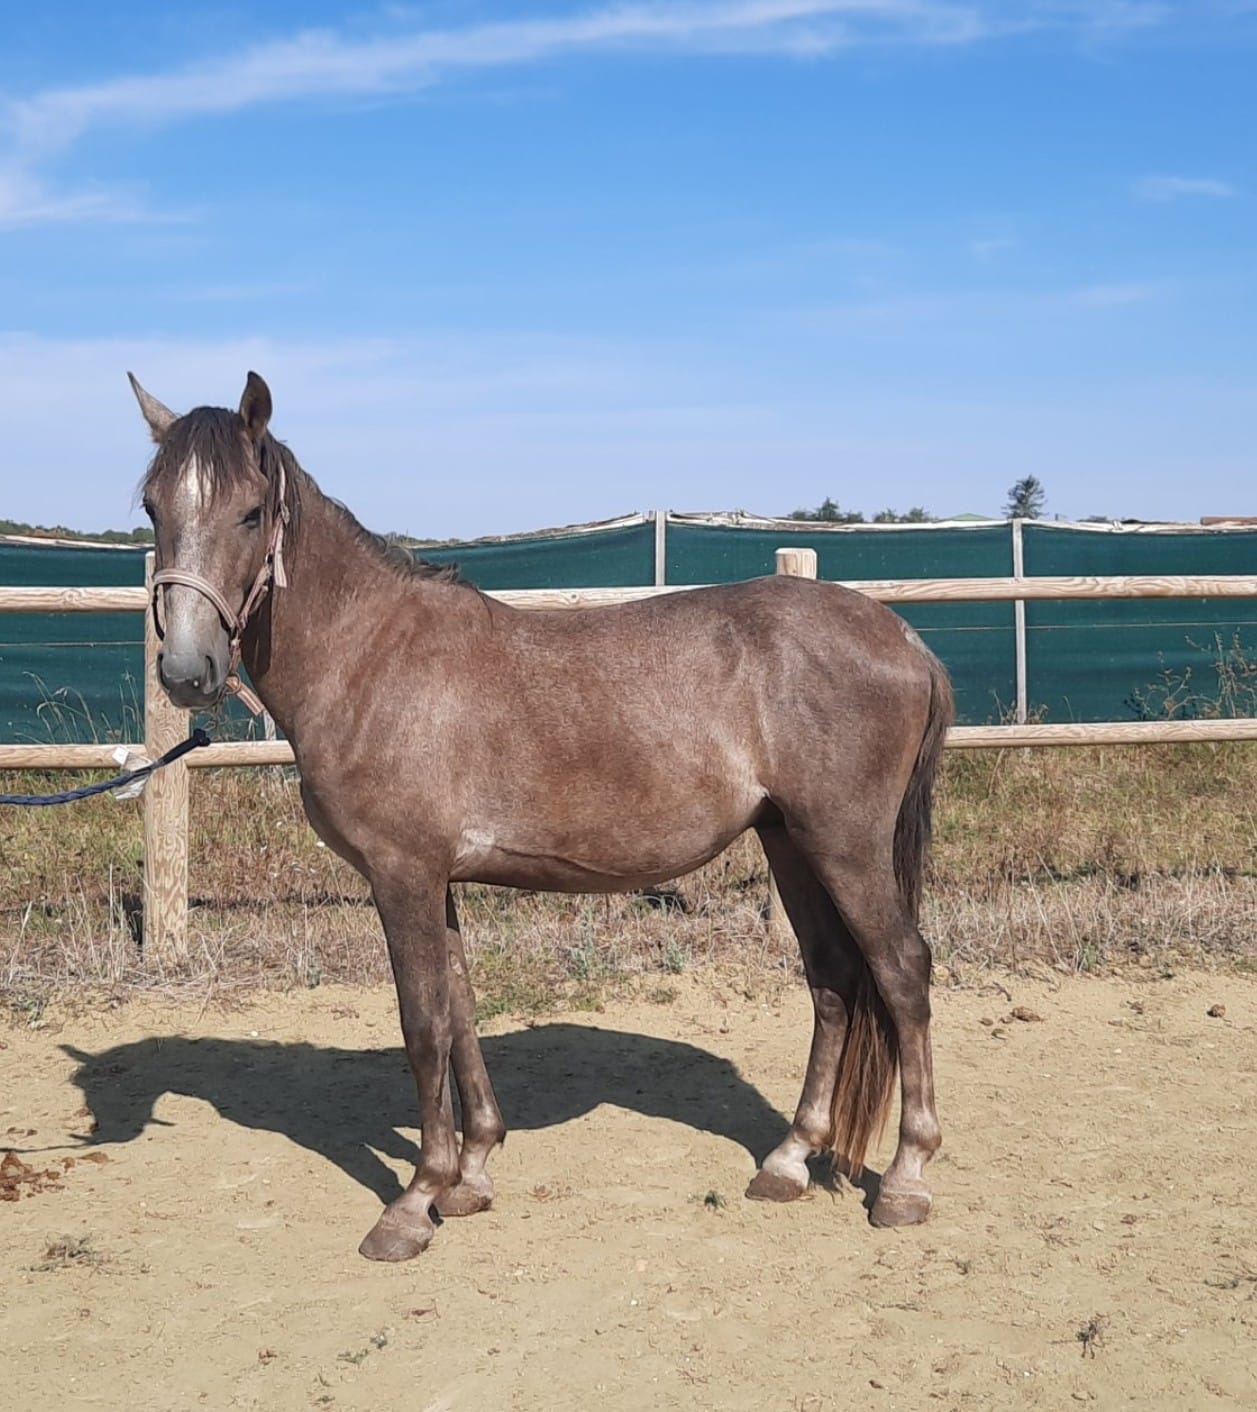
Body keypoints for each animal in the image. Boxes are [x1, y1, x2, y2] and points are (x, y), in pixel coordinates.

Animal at [129, 369, 949, 1265]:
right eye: (152, 507)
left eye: (250, 512)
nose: (186, 672)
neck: (371, 658)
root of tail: (902, 634)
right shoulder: (435, 880)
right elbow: (459, 1008)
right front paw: (470, 1175)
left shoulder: (402, 875)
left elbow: (423, 1026)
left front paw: (412, 1202)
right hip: (790, 842)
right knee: (833, 978)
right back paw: (789, 1159)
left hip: (845, 845)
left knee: (901, 973)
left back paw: (905, 1179)